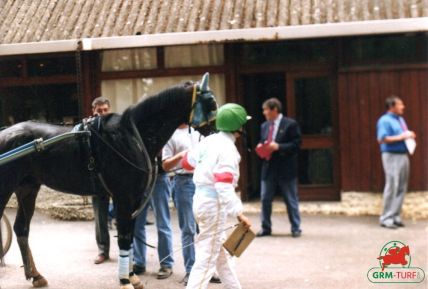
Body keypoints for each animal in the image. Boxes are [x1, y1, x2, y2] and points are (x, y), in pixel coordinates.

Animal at [0, 74, 217, 288]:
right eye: (211, 105)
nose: (218, 131)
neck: (131, 136)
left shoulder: (134, 199)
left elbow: (129, 237)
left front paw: (132, 276)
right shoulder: (124, 198)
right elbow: (123, 238)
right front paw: (125, 280)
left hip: (28, 188)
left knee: (21, 228)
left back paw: (36, 275)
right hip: (7, 187)